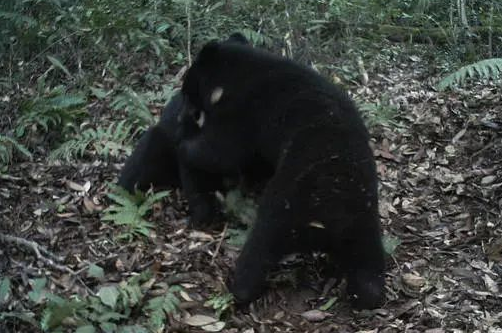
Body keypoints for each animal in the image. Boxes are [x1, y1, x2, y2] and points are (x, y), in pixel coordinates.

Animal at [178, 34, 386, 308]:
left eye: (187, 87)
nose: (182, 112)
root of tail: (331, 220)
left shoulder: (244, 112)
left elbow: (221, 151)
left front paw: (185, 146)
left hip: (285, 208)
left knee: (260, 245)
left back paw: (239, 286)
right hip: (365, 222)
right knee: (369, 267)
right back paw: (369, 291)